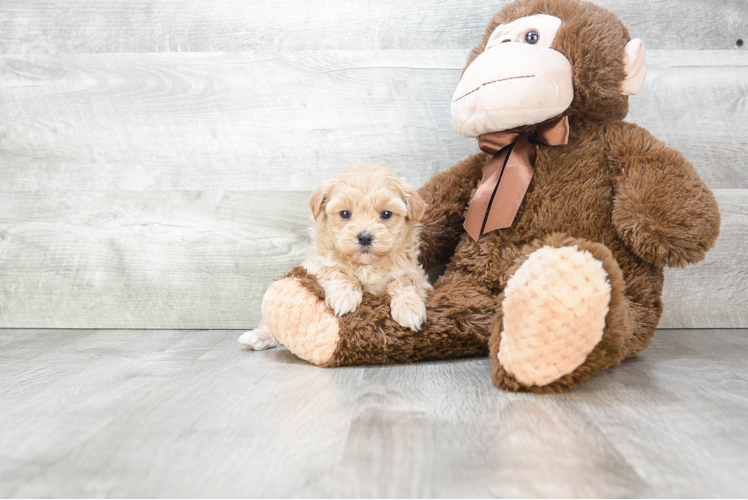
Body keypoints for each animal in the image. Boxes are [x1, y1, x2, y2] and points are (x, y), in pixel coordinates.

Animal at [240, 165, 432, 352]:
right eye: (345, 214)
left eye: (386, 214)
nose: (364, 237)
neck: (367, 264)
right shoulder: (316, 264)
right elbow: (336, 270)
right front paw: (345, 297)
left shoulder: (414, 273)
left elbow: (405, 282)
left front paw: (409, 310)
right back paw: (257, 337)